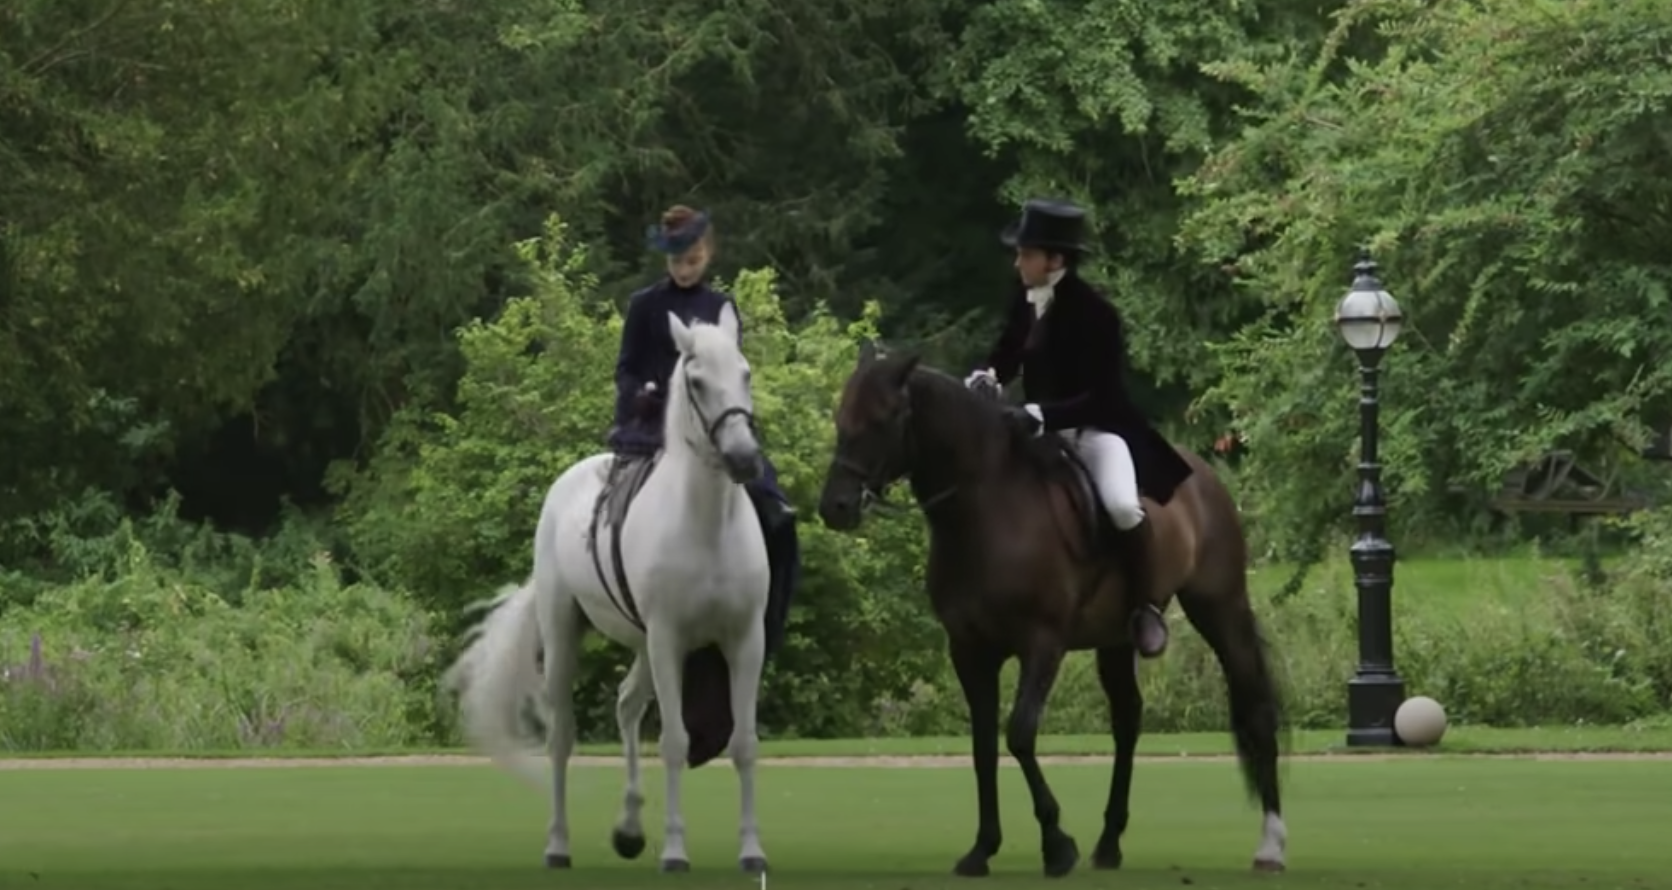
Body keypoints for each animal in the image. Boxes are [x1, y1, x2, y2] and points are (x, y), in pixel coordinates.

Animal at [444, 309, 769, 869]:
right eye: (697, 382)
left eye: (745, 373)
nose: (744, 458)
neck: (707, 526)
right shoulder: (668, 640)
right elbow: (676, 743)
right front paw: (676, 852)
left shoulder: (745, 641)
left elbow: (744, 744)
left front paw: (751, 852)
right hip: (565, 634)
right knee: (561, 737)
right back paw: (558, 845)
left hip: (643, 645)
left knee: (626, 705)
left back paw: (630, 830)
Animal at [815, 344, 1284, 876]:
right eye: (841, 418)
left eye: (883, 419)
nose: (835, 507)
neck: (986, 511)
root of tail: (1204, 474)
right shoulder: (969, 651)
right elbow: (982, 746)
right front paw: (982, 849)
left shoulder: (1042, 643)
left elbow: (1019, 734)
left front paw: (1057, 844)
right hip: (1116, 638)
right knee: (1128, 720)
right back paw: (1109, 843)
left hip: (1220, 608)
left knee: (1257, 709)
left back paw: (1270, 845)